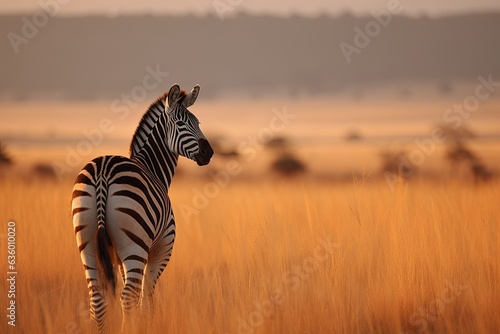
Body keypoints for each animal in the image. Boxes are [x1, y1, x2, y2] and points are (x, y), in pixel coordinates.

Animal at [71, 83, 213, 332]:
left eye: (198, 123)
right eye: (181, 124)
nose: (209, 153)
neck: (152, 167)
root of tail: (102, 175)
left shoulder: (116, 256)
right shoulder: (161, 248)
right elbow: (147, 296)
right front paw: (148, 323)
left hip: (87, 242)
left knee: (97, 298)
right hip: (135, 246)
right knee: (128, 296)